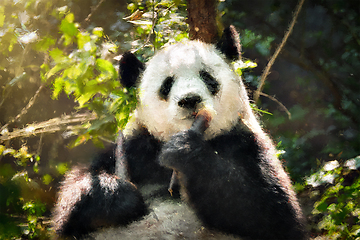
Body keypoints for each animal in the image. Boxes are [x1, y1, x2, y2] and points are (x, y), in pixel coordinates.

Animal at [52, 26, 308, 240]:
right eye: (167, 84)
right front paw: (117, 194)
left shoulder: (245, 141)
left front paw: (185, 151)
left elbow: (271, 213)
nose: (190, 100)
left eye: (207, 77)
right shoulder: (136, 146)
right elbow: (75, 197)